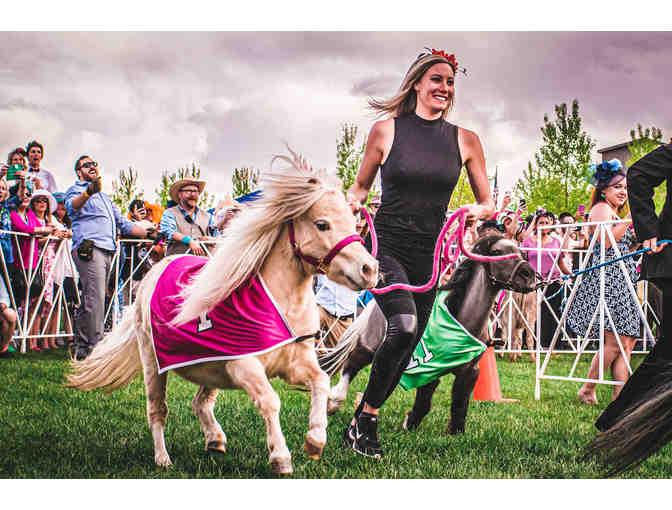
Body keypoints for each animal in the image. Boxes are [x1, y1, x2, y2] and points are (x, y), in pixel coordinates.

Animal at [67, 150, 378, 474]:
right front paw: (280, 457)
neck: (278, 304)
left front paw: (315, 440)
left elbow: (320, 382)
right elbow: (271, 401)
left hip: (210, 365)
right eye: (322, 224)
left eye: (353, 222)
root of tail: (156, 270)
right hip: (153, 362)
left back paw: (215, 439)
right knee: (157, 409)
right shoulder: (243, 365)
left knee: (200, 402)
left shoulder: (296, 362)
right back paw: (163, 458)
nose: (370, 269)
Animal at [322, 236, 540, 434]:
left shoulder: (470, 371)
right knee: (352, 364)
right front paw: (410, 423)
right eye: (496, 252)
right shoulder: (430, 369)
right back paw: (334, 402)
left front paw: (455, 432)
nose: (529, 275)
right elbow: (425, 401)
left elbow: (460, 403)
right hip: (370, 345)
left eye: (521, 253)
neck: (462, 322)